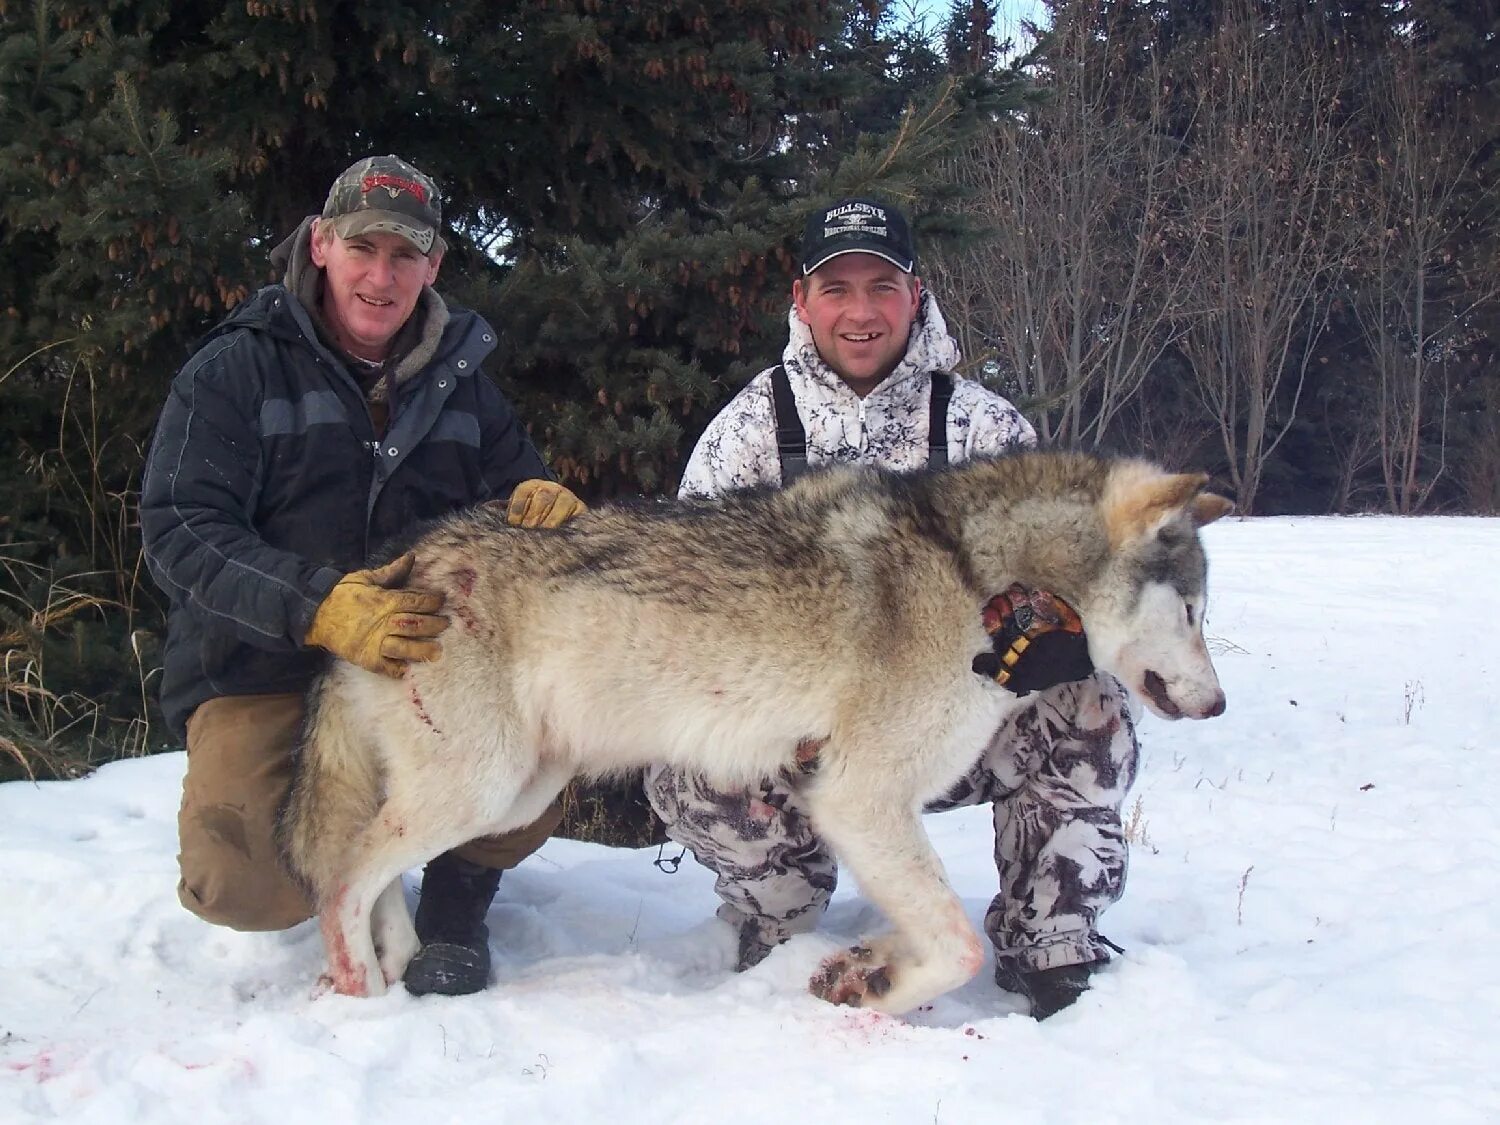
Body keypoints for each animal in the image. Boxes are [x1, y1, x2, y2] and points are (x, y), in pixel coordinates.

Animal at [279, 453, 1230, 1020]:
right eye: (1191, 611)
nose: (1218, 703)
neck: (970, 573)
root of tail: (396, 562)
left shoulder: (867, 809)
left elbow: (930, 923)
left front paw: (863, 964)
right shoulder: (858, 798)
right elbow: (957, 946)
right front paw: (881, 994)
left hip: (511, 792)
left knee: (372, 868)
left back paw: (398, 968)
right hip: (484, 785)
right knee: (345, 877)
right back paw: (360, 986)